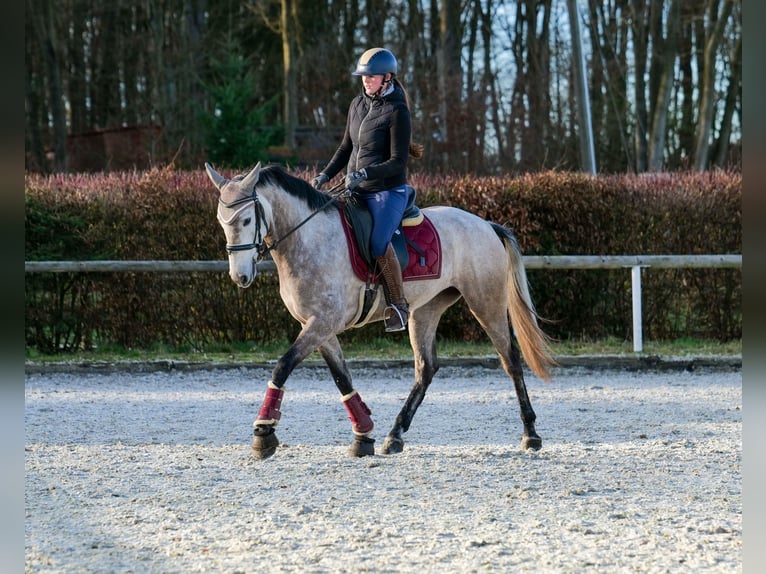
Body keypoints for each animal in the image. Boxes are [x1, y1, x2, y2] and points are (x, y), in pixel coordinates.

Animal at [206, 164, 560, 462]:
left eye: (246, 221)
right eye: (222, 222)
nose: (240, 277)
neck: (308, 239)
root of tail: (485, 224)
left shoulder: (323, 322)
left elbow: (283, 366)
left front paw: (263, 433)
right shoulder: (318, 325)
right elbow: (341, 377)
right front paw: (363, 435)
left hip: (486, 302)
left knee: (510, 359)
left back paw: (530, 434)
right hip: (425, 310)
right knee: (426, 368)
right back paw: (395, 434)